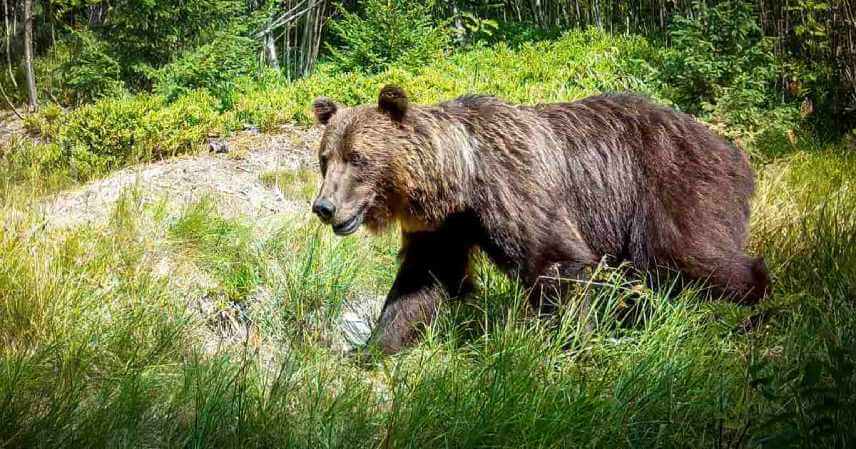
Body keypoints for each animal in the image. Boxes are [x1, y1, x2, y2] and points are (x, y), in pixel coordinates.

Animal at [310, 85, 772, 354]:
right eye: (325, 158)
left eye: (358, 158)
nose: (324, 207)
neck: (462, 176)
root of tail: (733, 152)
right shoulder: (447, 226)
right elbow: (423, 280)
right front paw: (374, 345)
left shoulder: (515, 187)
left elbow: (556, 259)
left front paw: (566, 343)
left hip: (670, 187)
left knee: (691, 255)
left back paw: (755, 300)